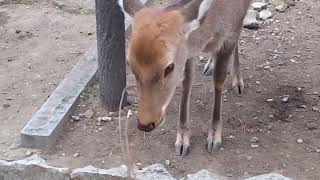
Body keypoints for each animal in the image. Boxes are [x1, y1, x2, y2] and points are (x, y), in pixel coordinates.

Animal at [122, 0, 252, 156]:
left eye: (169, 67)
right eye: (129, 63)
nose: (145, 124)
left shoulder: (231, 32)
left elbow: (219, 79)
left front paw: (214, 137)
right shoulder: (187, 51)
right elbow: (187, 82)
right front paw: (182, 140)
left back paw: (237, 82)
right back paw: (211, 63)